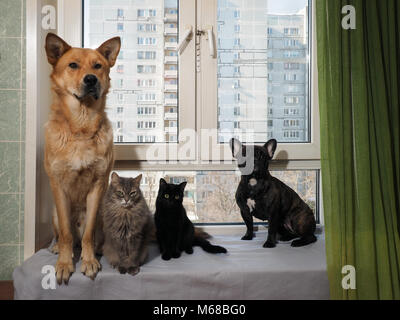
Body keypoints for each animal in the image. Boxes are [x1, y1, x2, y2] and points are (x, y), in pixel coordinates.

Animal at [44, 32, 120, 284]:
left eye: (98, 66)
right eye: (73, 65)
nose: (91, 80)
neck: (81, 128)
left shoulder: (98, 184)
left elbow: (88, 234)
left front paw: (88, 261)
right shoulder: (57, 185)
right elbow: (66, 234)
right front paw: (65, 264)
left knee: (92, 236)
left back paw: (96, 248)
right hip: (55, 213)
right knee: (63, 234)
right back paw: (57, 248)